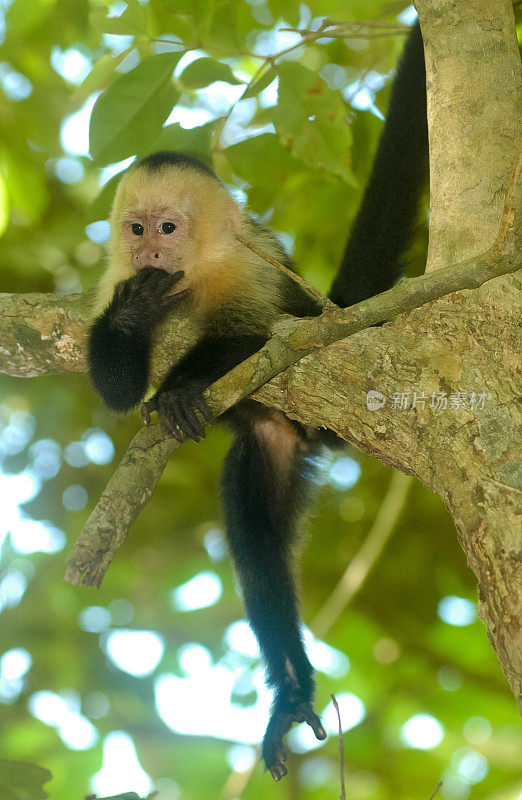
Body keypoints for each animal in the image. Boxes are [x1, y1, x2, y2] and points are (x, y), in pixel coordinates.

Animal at [87, 23, 424, 780]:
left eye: (169, 229)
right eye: (137, 229)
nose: (151, 256)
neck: (192, 277)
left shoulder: (248, 264)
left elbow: (269, 335)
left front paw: (181, 388)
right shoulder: (110, 278)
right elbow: (114, 388)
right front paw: (133, 321)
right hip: (271, 447)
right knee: (257, 545)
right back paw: (292, 690)